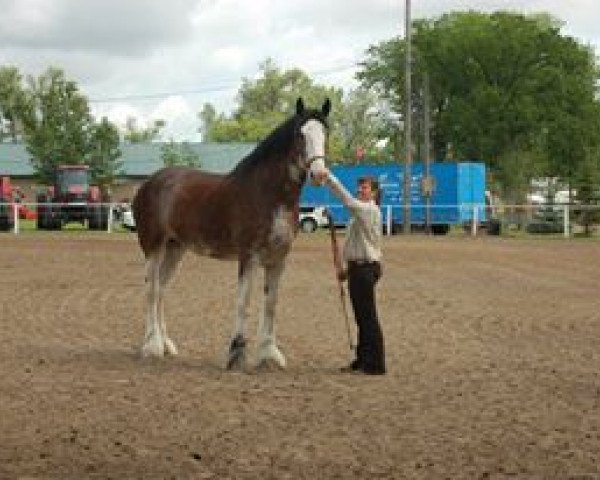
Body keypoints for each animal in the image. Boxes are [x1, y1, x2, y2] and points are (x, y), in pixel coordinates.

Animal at [131, 95, 330, 370]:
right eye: (300, 135)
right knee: (151, 290)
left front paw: (269, 355)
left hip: (175, 248)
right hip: (153, 247)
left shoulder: (278, 259)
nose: (319, 174)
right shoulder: (249, 256)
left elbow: (271, 304)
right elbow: (243, 303)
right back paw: (152, 347)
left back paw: (166, 344)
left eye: (326, 132)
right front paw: (236, 354)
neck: (269, 194)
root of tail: (148, 184)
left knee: (161, 290)